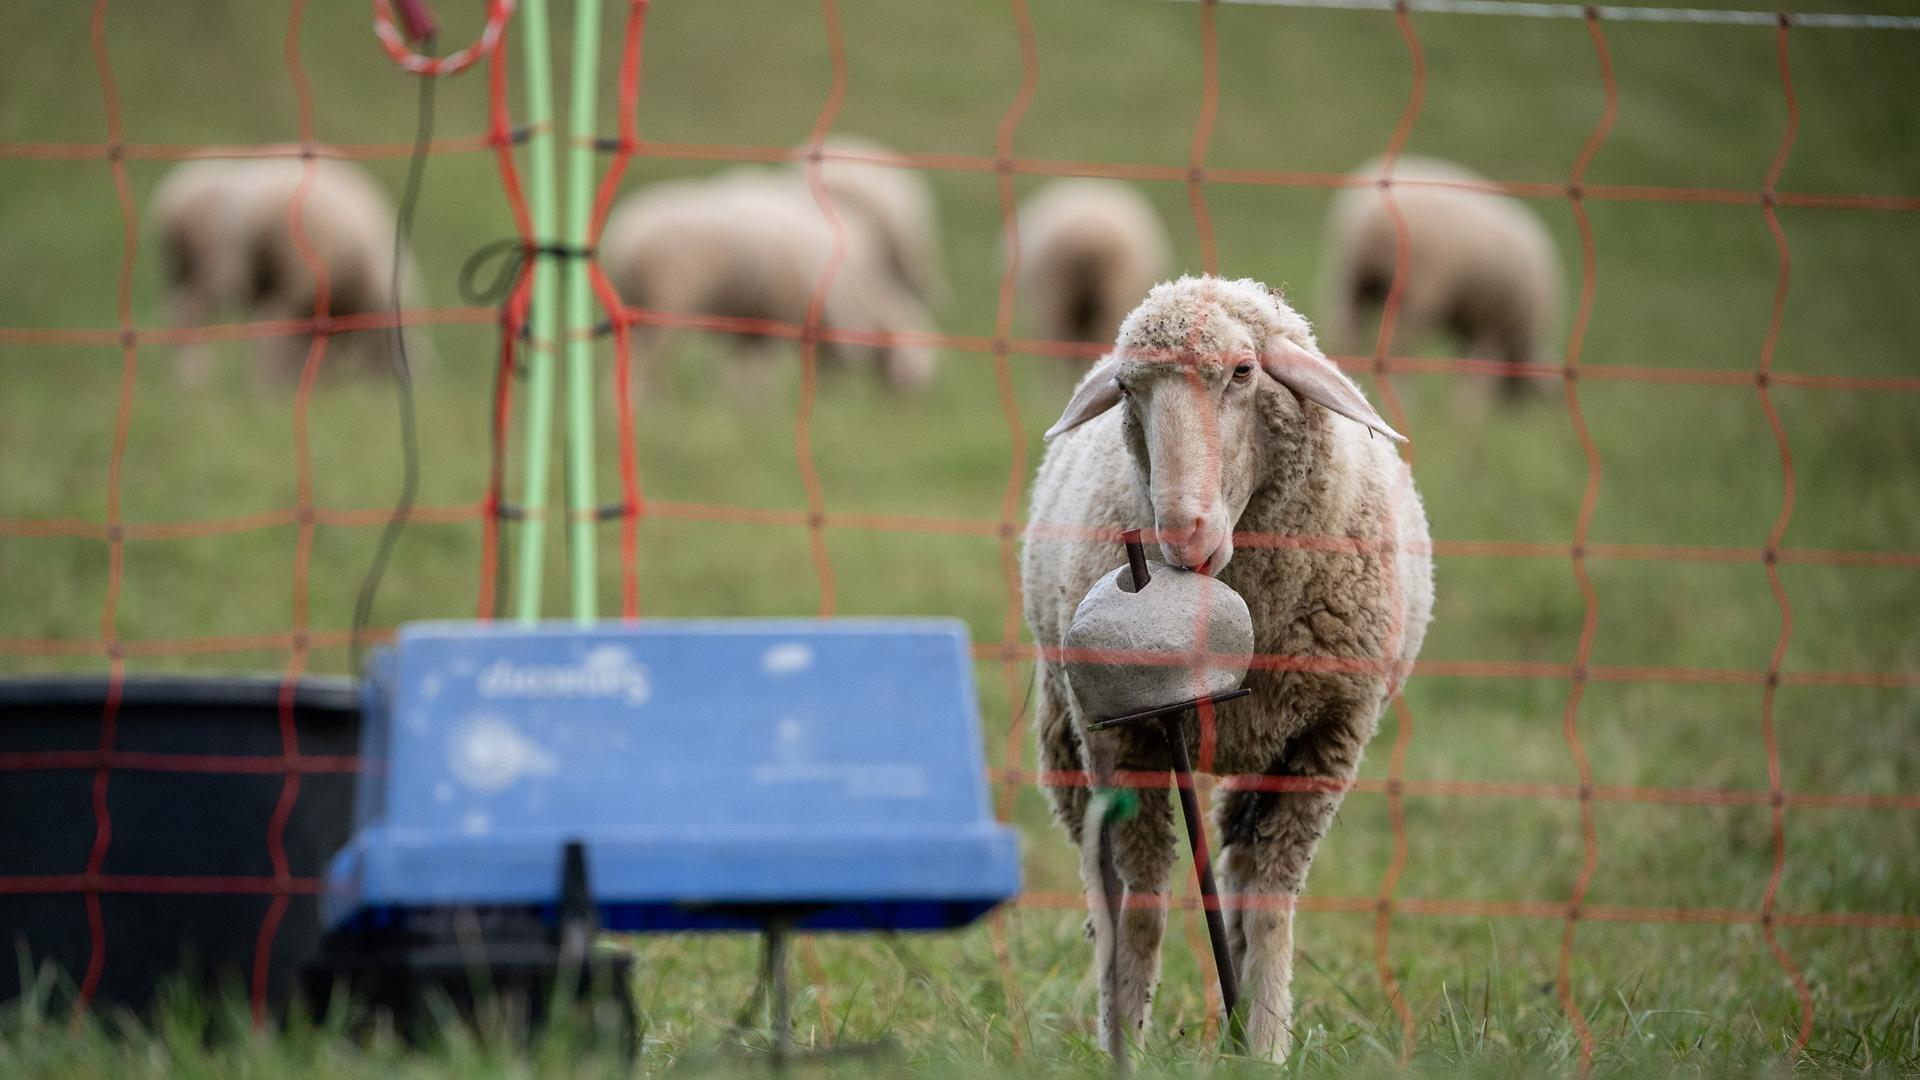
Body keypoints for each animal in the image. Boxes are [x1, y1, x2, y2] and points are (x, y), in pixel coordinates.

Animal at [599, 168, 937, 394]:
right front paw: (760, 402)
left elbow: (740, 361)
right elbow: (762, 364)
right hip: (669, 294)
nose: (913, 398)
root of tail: (628, 235)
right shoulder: (779, 312)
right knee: (649, 355)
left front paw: (737, 398)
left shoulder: (749, 314)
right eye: (910, 352)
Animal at [1021, 275, 1433, 1063]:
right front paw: (1128, 1053)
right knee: (1105, 894)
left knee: (1242, 878)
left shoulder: (1327, 740)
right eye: (1127, 387)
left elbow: (1271, 906)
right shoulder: (1131, 740)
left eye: (1244, 372)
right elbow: (1143, 908)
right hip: (1069, 734)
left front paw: (1266, 1048)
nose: (1182, 536)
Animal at [1322, 154, 1560, 397]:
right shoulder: (1492, 325)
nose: (1507, 406)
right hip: (1417, 289)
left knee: (1348, 331)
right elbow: (1477, 373)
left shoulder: (1473, 327)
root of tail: (1374, 216)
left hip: (1353, 278)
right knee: (1400, 347)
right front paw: (1470, 404)